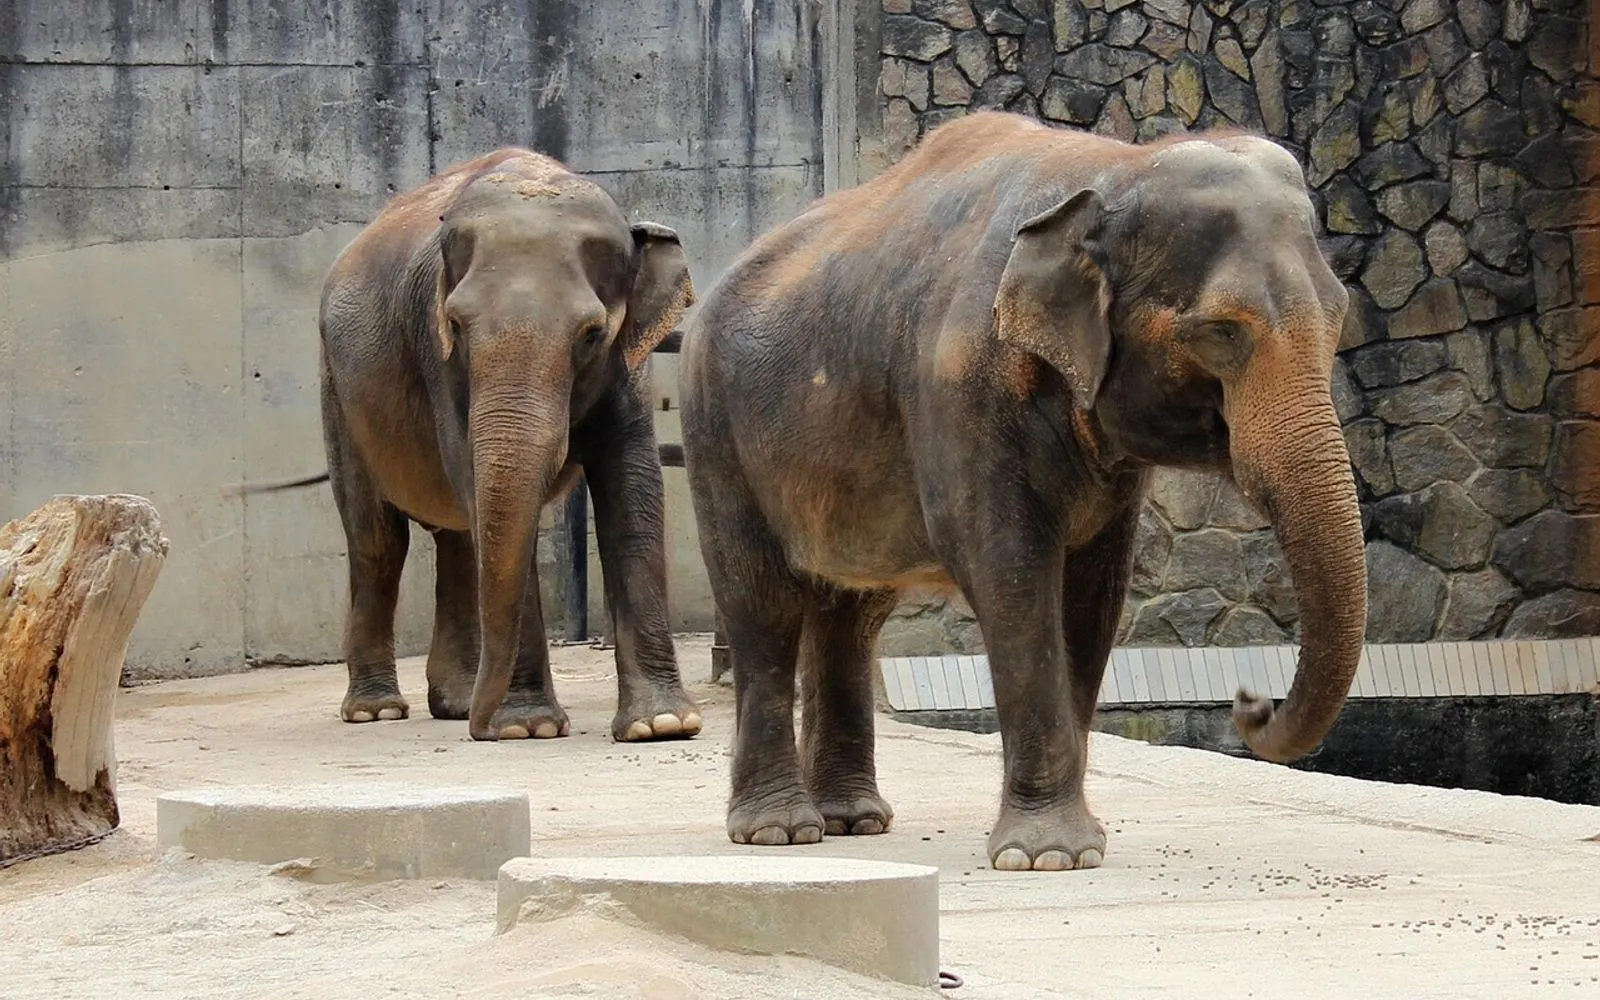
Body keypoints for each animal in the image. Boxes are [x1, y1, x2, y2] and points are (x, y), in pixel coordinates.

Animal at [242, 147, 703, 744]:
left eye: (592, 333)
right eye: (456, 326)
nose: (484, 731)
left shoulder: (629, 364)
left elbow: (634, 491)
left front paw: (662, 725)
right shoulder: (433, 350)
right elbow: (479, 489)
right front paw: (528, 728)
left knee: (458, 537)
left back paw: (456, 703)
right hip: (337, 393)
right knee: (377, 542)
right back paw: (378, 711)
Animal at [676, 111, 1365, 871]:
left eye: (1340, 317)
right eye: (1222, 331)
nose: (1250, 701)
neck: (1114, 167)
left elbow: (1093, 593)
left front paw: (1077, 846)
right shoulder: (957, 390)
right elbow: (1010, 574)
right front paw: (1045, 857)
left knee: (851, 613)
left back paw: (852, 821)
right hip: (715, 429)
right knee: (761, 603)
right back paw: (778, 832)